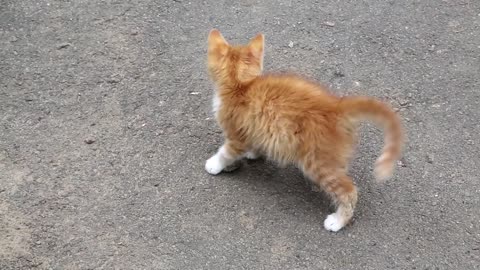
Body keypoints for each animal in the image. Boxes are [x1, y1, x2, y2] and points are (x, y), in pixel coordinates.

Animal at [204, 30, 404, 232]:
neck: (240, 86)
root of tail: (336, 106)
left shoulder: (236, 134)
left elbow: (226, 152)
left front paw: (215, 164)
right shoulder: (257, 127)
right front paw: (254, 152)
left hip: (316, 162)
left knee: (349, 190)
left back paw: (338, 221)